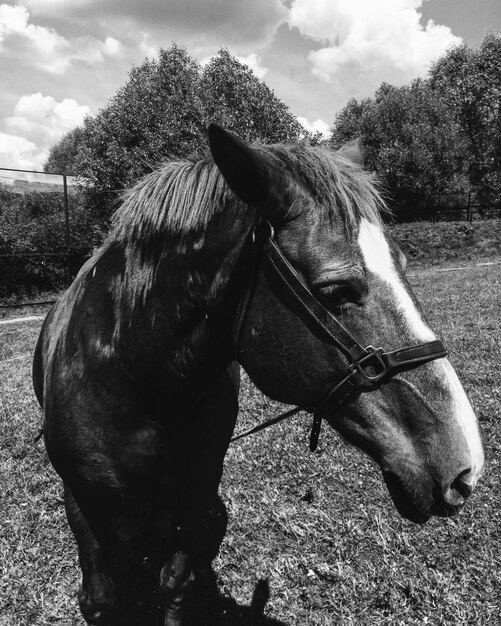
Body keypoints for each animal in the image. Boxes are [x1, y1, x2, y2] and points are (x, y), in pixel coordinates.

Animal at [32, 124, 484, 620]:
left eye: (403, 266)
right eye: (335, 289)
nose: (466, 466)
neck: (138, 380)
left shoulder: (197, 489)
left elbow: (175, 583)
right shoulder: (81, 501)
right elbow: (99, 598)